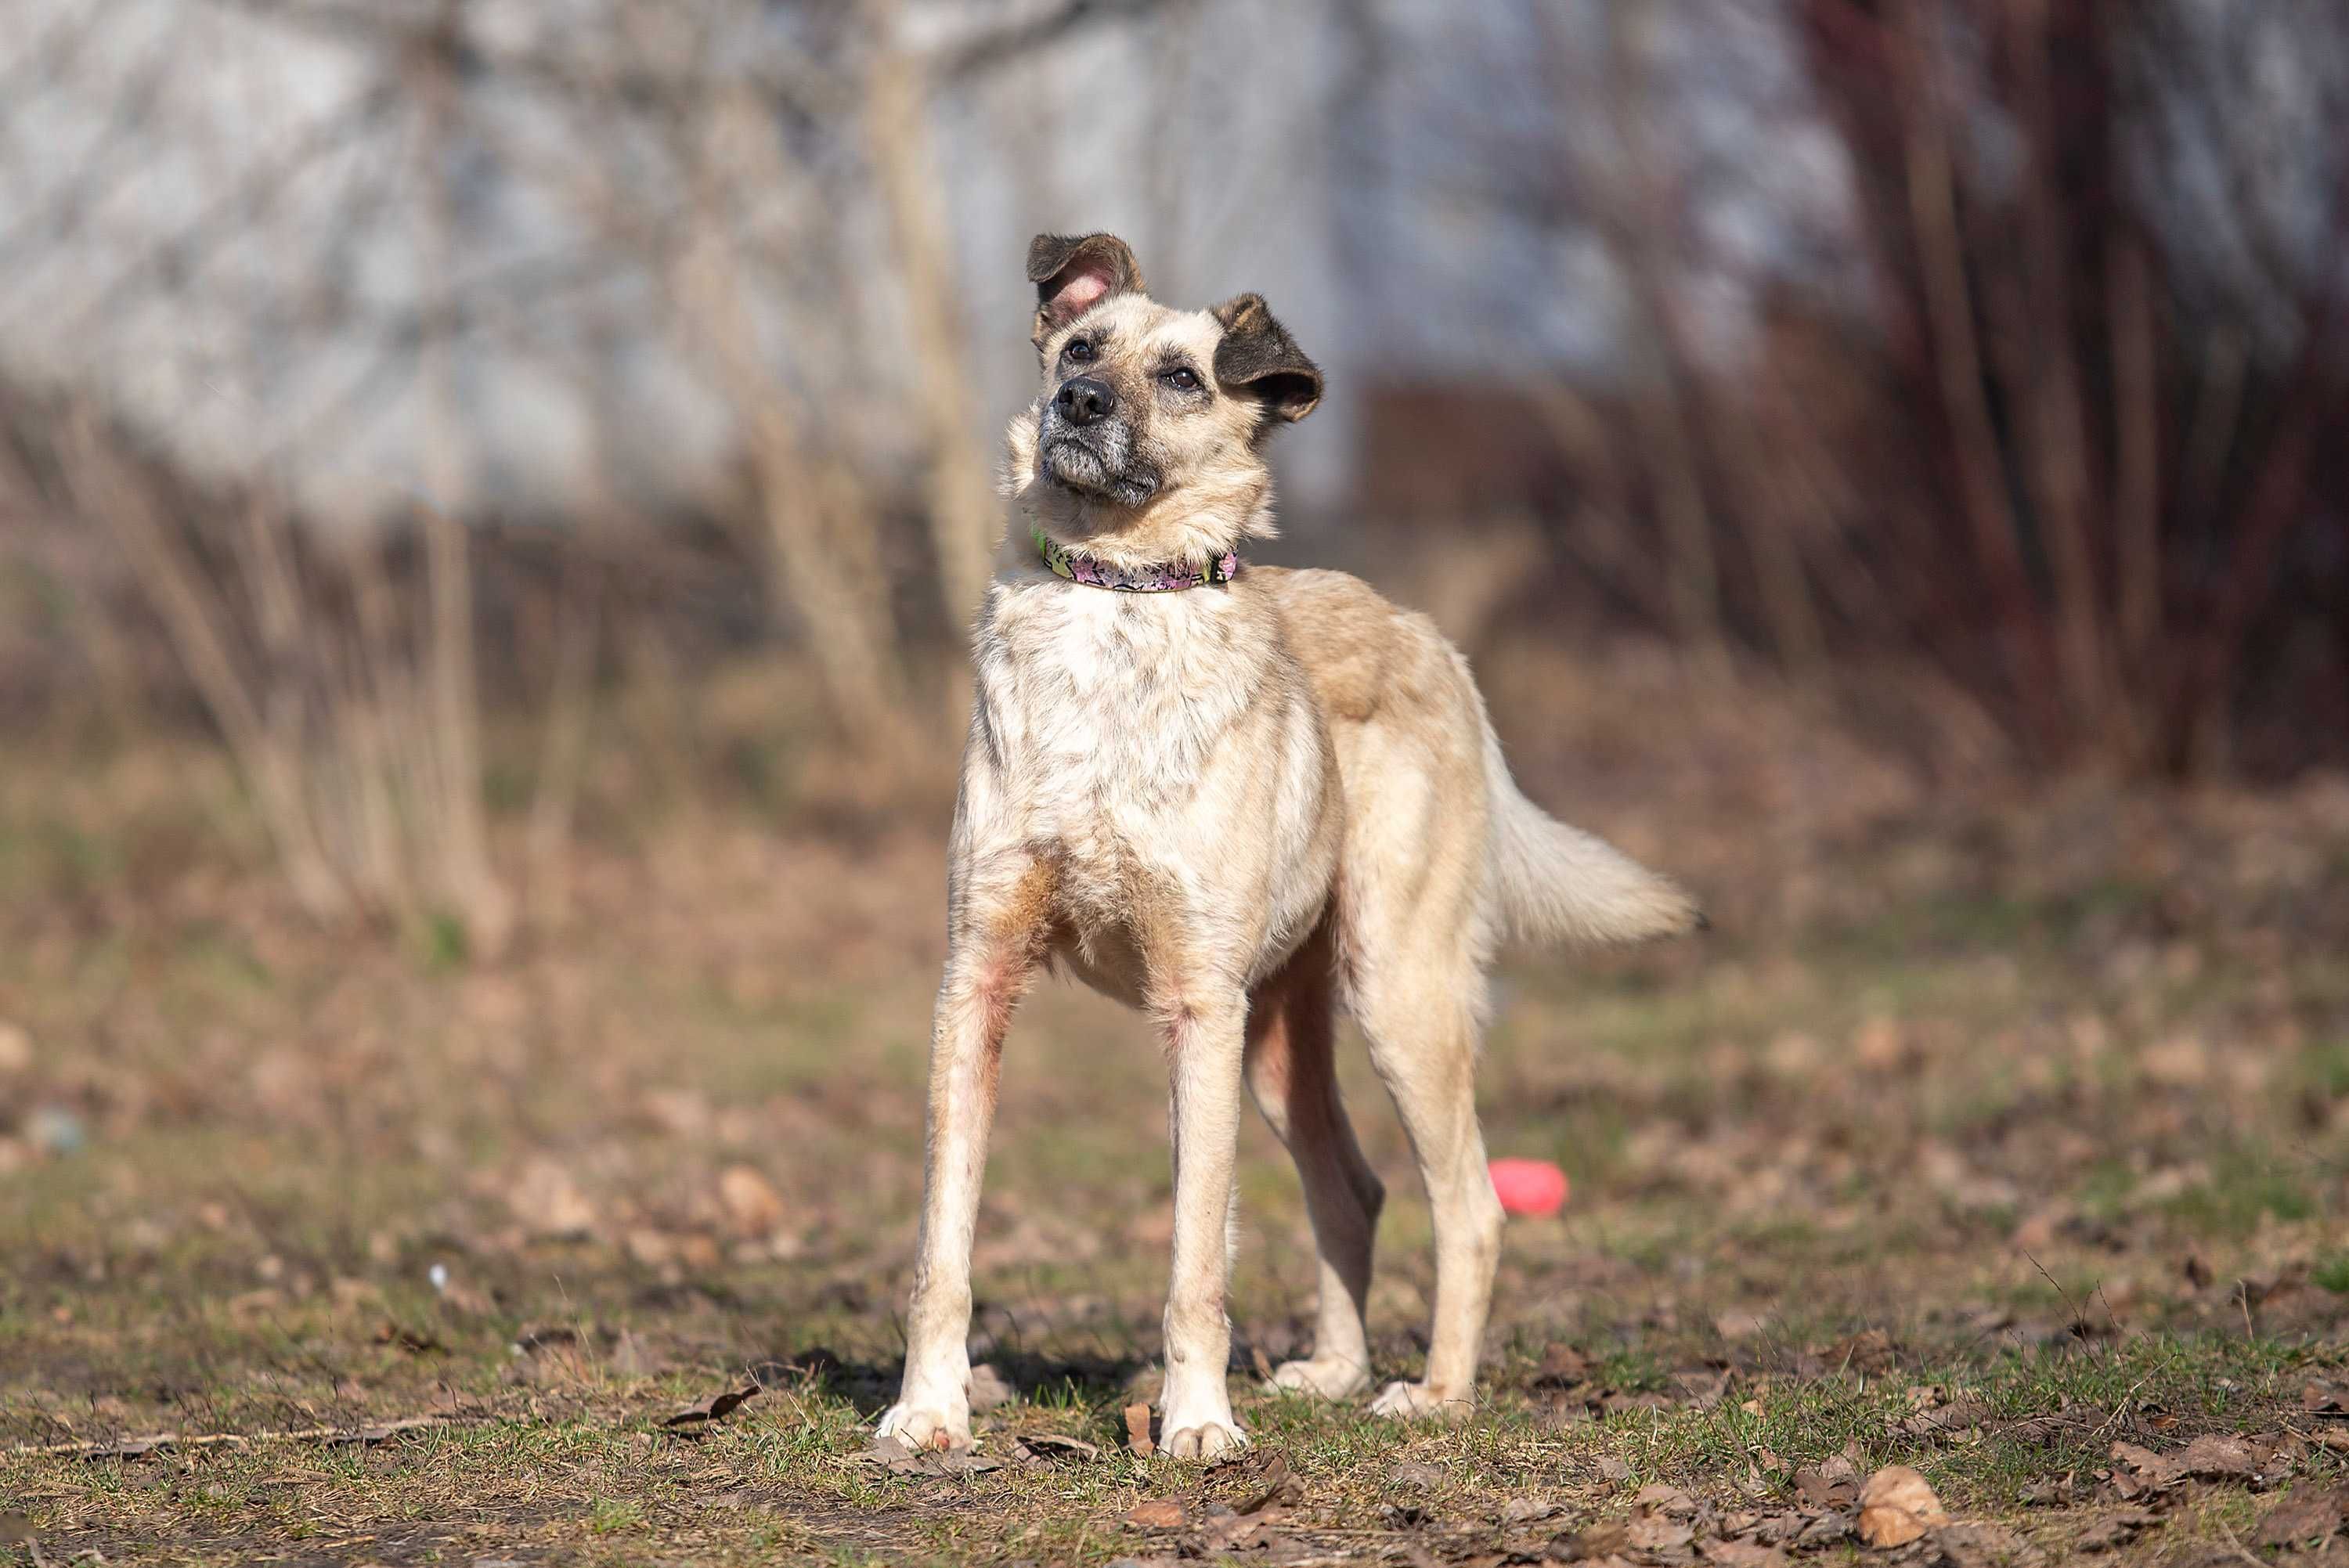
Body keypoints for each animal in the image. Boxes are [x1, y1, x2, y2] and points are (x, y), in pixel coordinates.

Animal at [874, 229, 1701, 1455]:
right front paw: (928, 1409)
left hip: (1395, 994)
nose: (1076, 403)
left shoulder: (1196, 1007)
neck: (1119, 594)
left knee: (1470, 1203)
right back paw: (1336, 1370)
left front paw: (1197, 1424)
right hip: (1277, 1042)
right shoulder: (977, 979)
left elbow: (1195, 1261)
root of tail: (1433, 638)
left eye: (1182, 377)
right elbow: (945, 1241)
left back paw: (1436, 1393)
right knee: (1353, 1187)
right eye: (1079, 348)